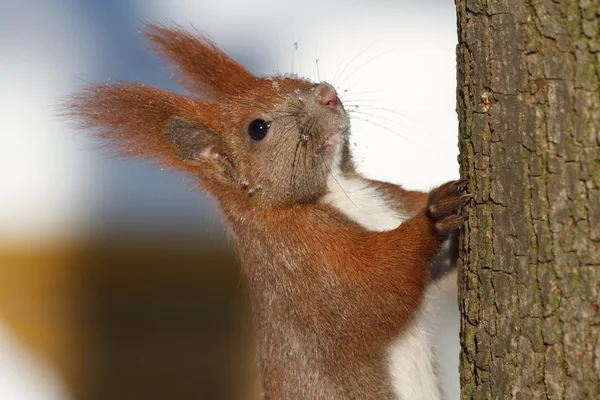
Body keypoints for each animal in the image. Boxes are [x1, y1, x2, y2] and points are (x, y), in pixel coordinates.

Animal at [68, 25, 472, 400]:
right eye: (258, 128)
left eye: (294, 79)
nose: (328, 94)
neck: (337, 189)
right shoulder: (307, 266)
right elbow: (379, 286)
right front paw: (434, 217)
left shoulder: (388, 200)